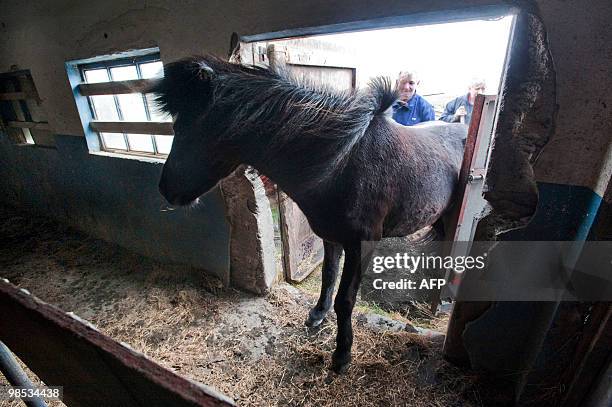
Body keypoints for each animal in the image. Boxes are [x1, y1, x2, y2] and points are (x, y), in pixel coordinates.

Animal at [152, 55, 464, 374]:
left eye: (187, 127)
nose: (165, 188)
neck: (345, 161)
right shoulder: (331, 236)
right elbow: (328, 275)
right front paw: (318, 314)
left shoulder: (361, 244)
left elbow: (346, 299)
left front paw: (342, 354)